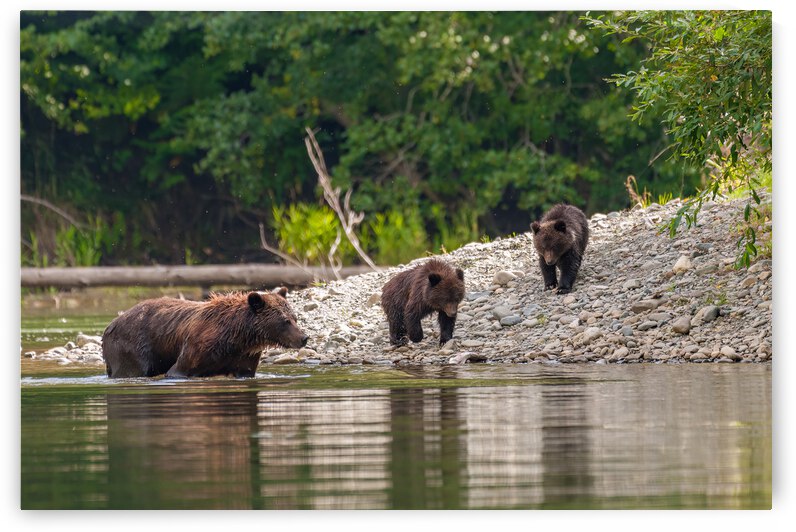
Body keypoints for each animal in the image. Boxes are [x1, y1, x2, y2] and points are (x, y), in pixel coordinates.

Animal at [102, 287, 308, 378]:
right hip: (132, 347)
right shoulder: (199, 347)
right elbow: (178, 370)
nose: (304, 338)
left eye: (295, 318)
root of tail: (109, 326)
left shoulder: (244, 356)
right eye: (285, 321)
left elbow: (244, 371)